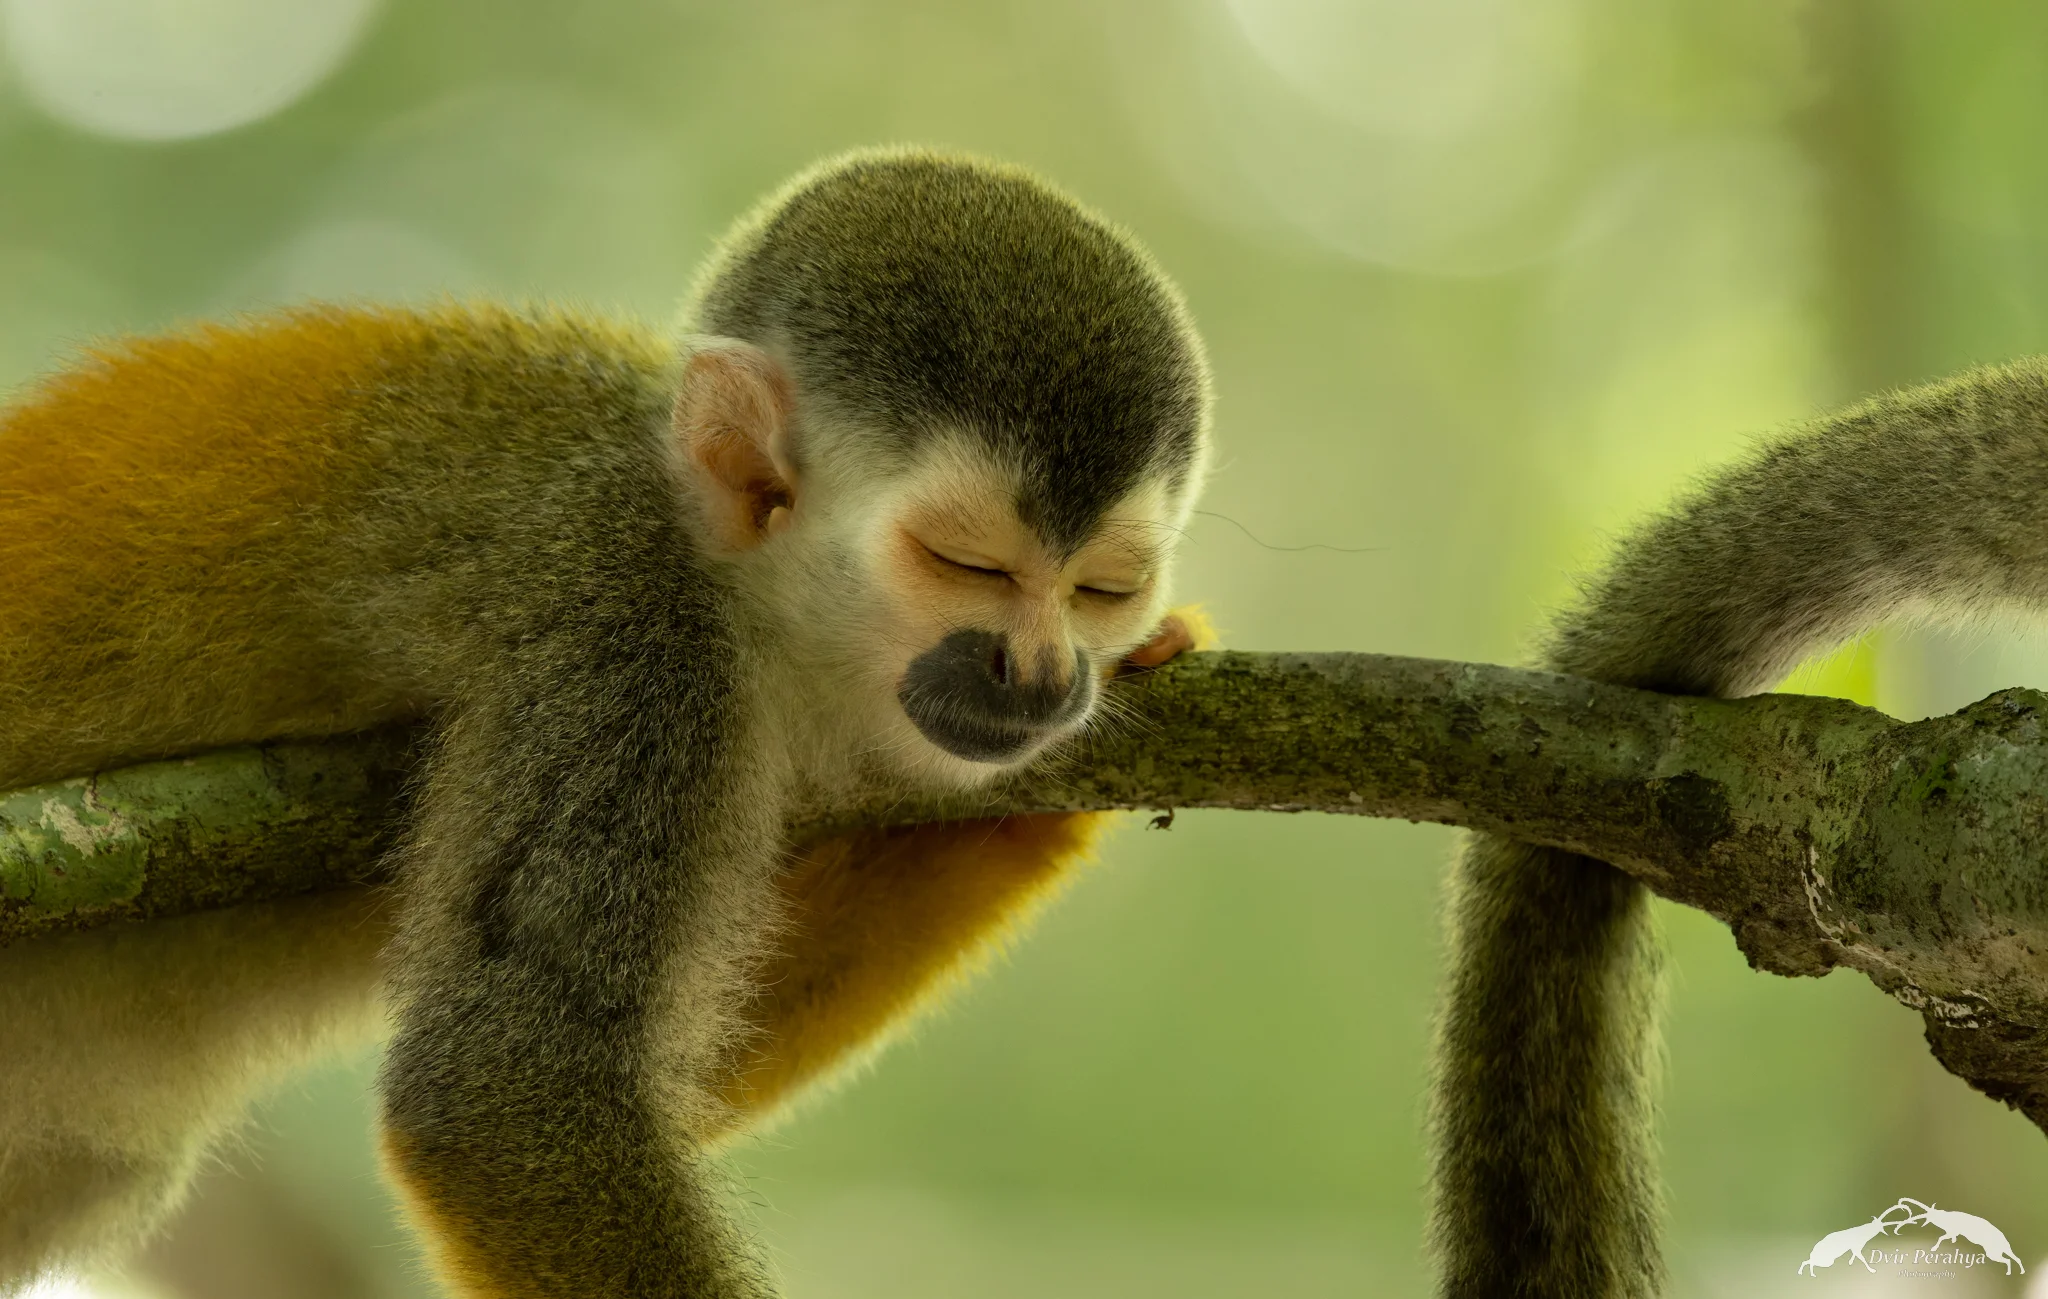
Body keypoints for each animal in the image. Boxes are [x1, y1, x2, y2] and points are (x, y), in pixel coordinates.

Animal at [0, 147, 1211, 1296]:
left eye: (1103, 588)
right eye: (967, 564)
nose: (1043, 677)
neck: (720, 564)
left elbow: (699, 1086)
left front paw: (1066, 786)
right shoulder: (630, 636)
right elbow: (513, 1088)